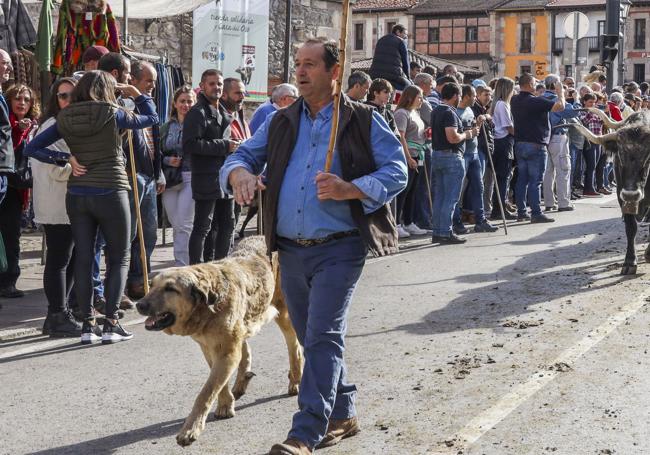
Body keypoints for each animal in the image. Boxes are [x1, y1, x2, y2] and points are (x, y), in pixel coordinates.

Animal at [137, 237, 304, 448]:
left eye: (170, 289)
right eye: (151, 285)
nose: (139, 304)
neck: (208, 306)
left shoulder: (226, 352)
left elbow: (206, 392)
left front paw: (191, 428)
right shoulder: (210, 348)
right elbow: (218, 383)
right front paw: (225, 403)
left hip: (284, 313)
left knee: (295, 348)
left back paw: (295, 379)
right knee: (246, 349)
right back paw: (242, 380)